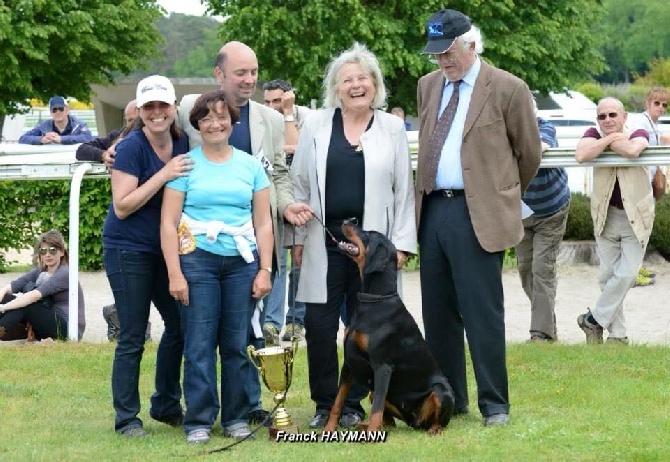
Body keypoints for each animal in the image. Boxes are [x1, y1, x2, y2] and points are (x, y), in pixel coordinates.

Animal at [326, 222, 456, 434]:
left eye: (368, 234)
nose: (347, 221)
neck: (374, 301)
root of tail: (415, 422)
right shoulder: (349, 363)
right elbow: (337, 401)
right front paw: (327, 429)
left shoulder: (382, 366)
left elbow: (376, 409)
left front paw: (372, 434)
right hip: (376, 394)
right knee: (389, 421)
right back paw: (364, 426)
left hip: (441, 390)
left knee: (437, 419)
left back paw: (434, 429)